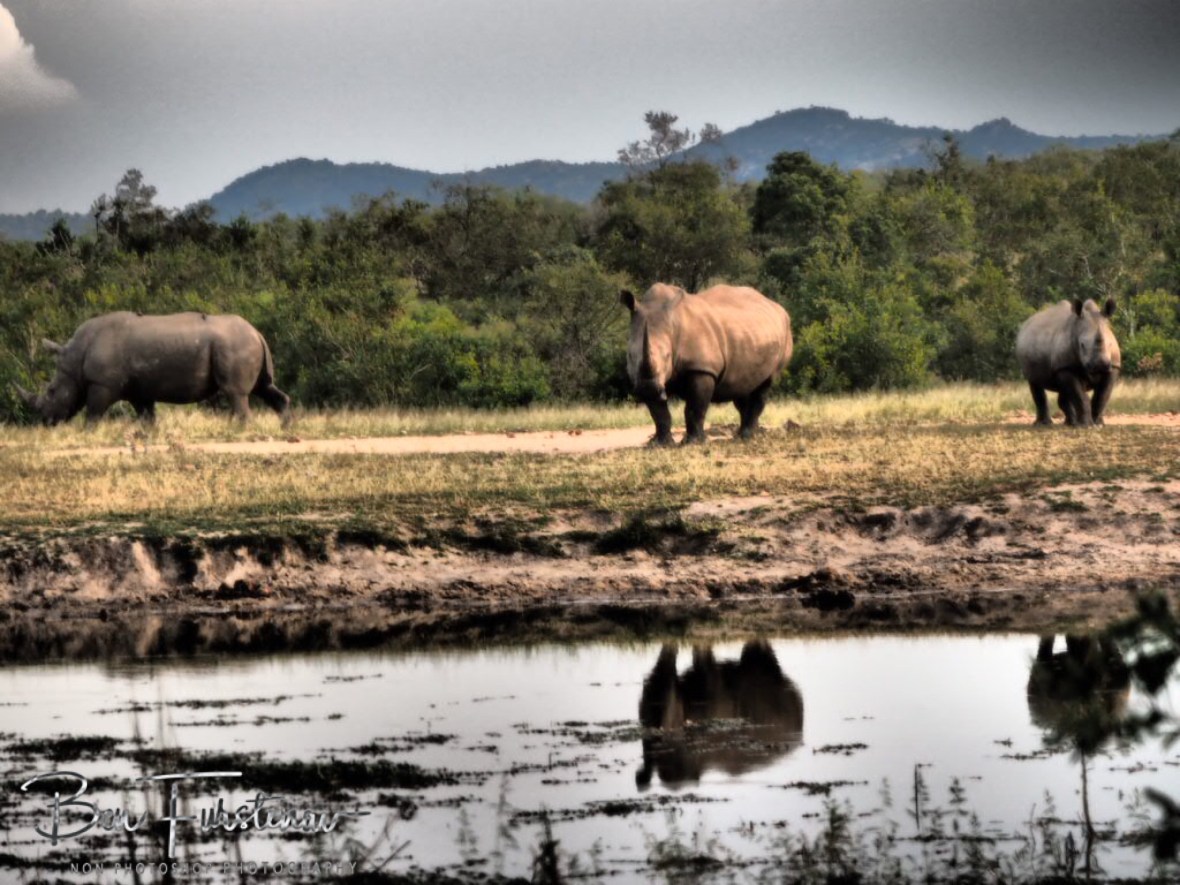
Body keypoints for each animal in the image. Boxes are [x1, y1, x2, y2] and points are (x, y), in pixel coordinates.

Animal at [16, 311, 291, 427]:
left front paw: (87, 433)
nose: (46, 421)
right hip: (243, 343)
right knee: (265, 388)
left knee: (236, 393)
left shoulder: (101, 384)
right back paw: (285, 428)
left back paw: (237, 431)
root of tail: (256, 332)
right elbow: (147, 416)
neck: (75, 358)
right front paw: (147, 437)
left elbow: (93, 413)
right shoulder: (140, 388)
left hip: (235, 344)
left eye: (52, 391)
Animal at [620, 283, 792, 444]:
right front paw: (659, 444)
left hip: (784, 335)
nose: (647, 387)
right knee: (743, 385)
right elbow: (658, 412)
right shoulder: (649, 380)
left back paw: (747, 436)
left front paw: (693, 442)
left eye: (667, 355)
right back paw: (742, 436)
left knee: (765, 384)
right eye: (630, 356)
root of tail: (778, 307)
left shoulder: (702, 368)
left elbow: (695, 407)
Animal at [1015, 298, 1120, 427]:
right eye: (1082, 345)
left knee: (1064, 390)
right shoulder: (1066, 367)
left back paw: (1070, 423)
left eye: (1110, 344)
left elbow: (1102, 396)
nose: (1099, 365)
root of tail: (1026, 324)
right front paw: (1087, 426)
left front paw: (1098, 424)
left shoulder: (1113, 366)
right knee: (1035, 383)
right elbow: (1080, 396)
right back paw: (1043, 424)